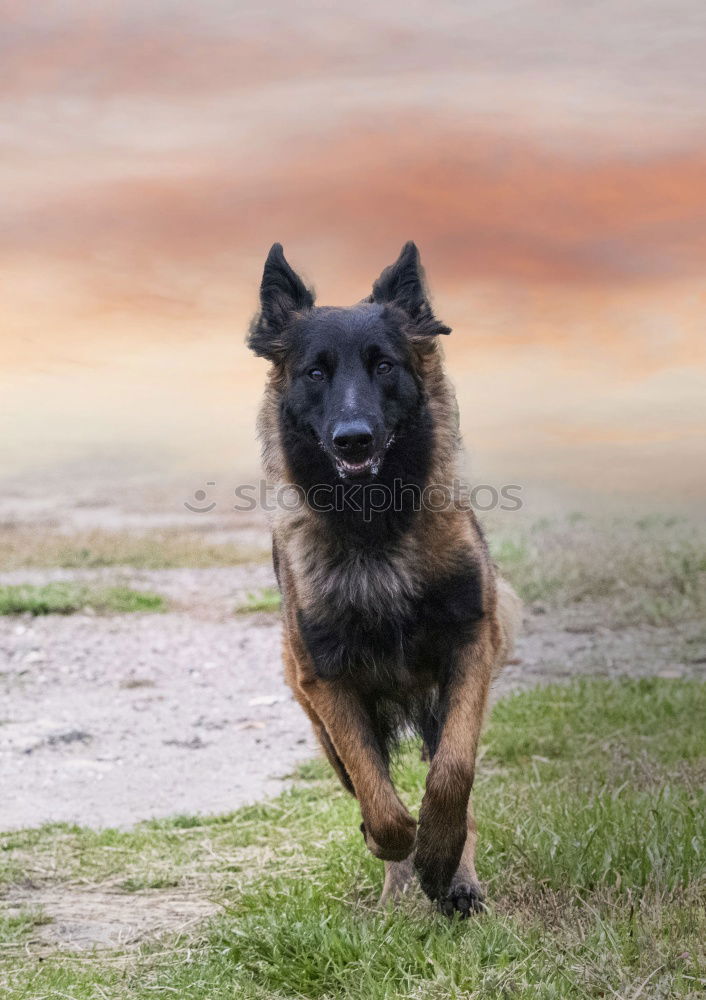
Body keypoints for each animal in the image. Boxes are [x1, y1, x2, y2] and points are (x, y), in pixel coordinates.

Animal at [246, 240, 516, 916]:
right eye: (315, 373)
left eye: (385, 366)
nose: (353, 438)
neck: (374, 531)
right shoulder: (328, 681)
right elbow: (382, 802)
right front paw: (396, 850)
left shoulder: (470, 645)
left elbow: (453, 776)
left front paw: (442, 858)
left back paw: (456, 879)